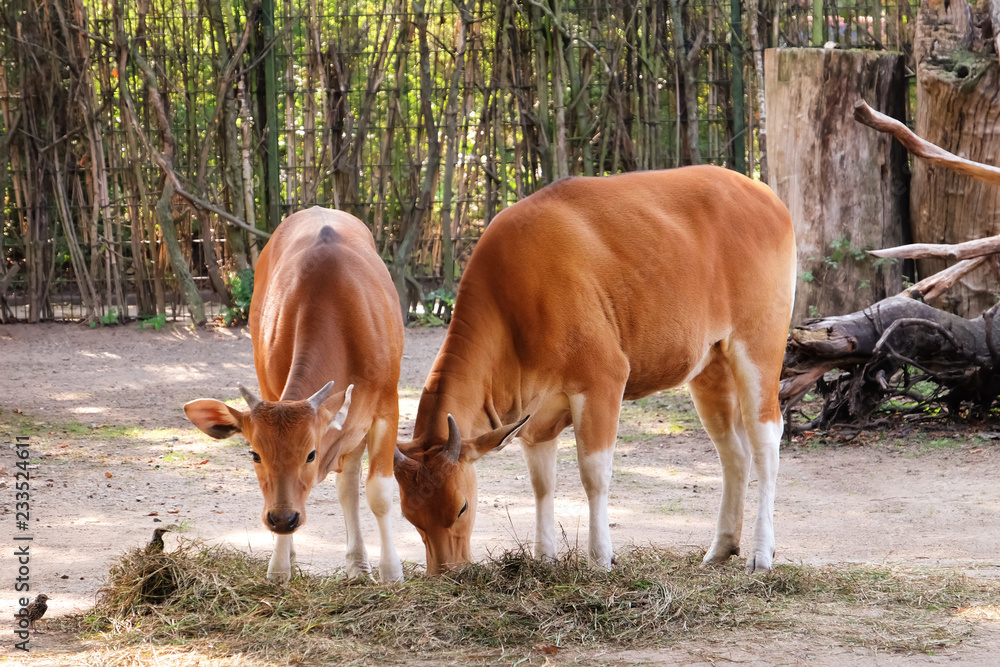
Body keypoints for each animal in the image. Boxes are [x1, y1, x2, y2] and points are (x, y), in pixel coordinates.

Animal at [186, 206, 404, 580]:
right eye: (254, 454)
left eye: (310, 454)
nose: (282, 518)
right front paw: (279, 567)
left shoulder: (387, 410)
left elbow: (379, 493)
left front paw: (391, 572)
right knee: (346, 485)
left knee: (349, 485)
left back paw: (359, 564)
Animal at [394, 166, 792, 576]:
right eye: (410, 517)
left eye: (462, 508)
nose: (446, 573)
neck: (512, 308)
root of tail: (764, 194)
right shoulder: (535, 414)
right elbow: (542, 483)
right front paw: (544, 557)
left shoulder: (603, 381)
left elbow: (594, 474)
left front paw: (601, 558)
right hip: (709, 366)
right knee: (734, 451)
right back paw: (721, 547)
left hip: (759, 346)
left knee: (765, 440)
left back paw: (762, 554)